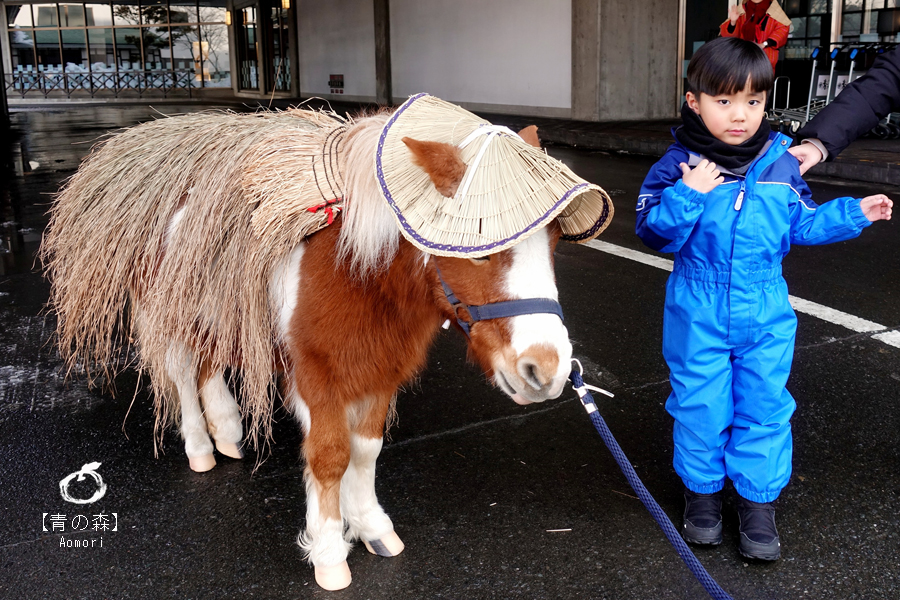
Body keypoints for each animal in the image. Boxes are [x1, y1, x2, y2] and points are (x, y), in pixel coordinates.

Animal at [38, 103, 608, 592]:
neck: (354, 268)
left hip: (221, 310)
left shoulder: (379, 370)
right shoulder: (316, 377)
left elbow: (366, 450)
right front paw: (330, 550)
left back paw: (227, 432)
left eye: (553, 242)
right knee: (181, 372)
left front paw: (371, 526)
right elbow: (330, 457)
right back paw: (200, 446)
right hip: (169, 312)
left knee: (208, 366)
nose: (546, 369)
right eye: (481, 247)